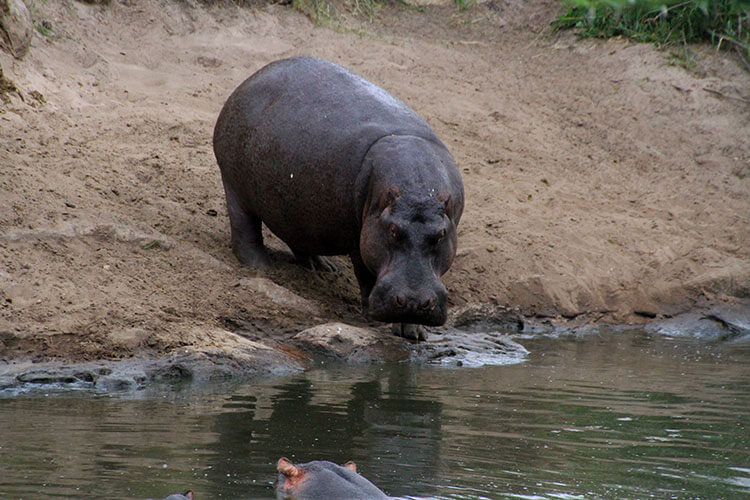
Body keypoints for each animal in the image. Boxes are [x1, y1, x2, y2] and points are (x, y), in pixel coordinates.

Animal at [213, 57, 464, 340]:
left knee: (298, 237)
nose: (412, 302)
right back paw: (262, 267)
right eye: (392, 230)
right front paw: (375, 321)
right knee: (245, 229)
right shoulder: (359, 238)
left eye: (441, 235)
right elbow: (365, 275)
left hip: (296, 205)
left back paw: (321, 267)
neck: (418, 191)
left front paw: (413, 332)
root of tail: (252, 78)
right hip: (234, 184)